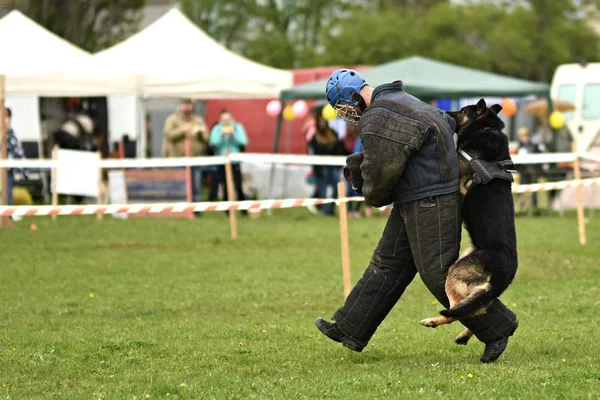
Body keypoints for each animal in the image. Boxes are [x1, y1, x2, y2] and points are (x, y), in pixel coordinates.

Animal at [420, 99, 516, 344]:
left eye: (462, 110)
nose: (444, 111)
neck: (486, 127)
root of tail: (504, 273)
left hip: (454, 274)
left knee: (457, 311)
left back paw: (433, 321)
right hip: (475, 287)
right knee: (477, 310)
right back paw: (463, 335)